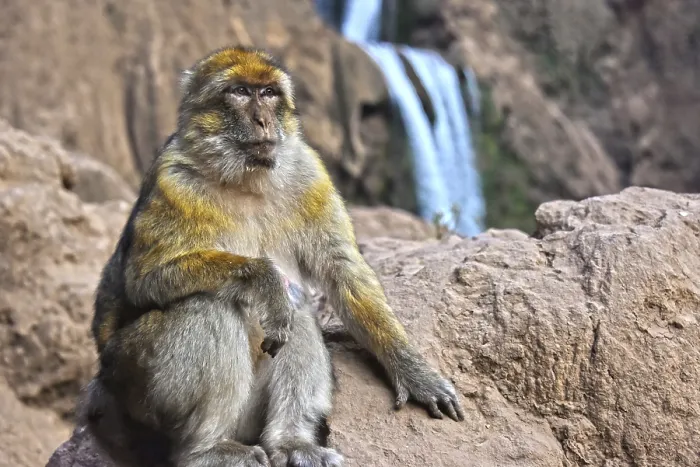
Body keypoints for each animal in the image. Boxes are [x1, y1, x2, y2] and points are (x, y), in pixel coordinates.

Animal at [81, 46, 465, 467]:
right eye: (239, 91)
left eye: (268, 93)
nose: (263, 120)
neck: (245, 179)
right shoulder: (173, 181)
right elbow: (144, 279)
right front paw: (264, 280)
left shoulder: (311, 173)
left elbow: (342, 271)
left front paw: (413, 372)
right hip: (133, 383)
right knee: (209, 305)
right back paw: (204, 448)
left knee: (298, 310)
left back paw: (291, 442)